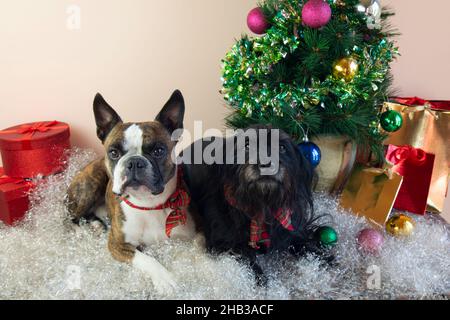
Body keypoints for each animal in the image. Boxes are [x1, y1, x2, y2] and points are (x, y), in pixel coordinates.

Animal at [181, 125, 328, 282]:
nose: (266, 163)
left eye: (282, 147)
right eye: (247, 145)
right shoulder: (222, 243)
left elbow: (302, 242)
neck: (261, 204)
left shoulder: (290, 226)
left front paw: (325, 258)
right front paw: (260, 278)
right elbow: (246, 257)